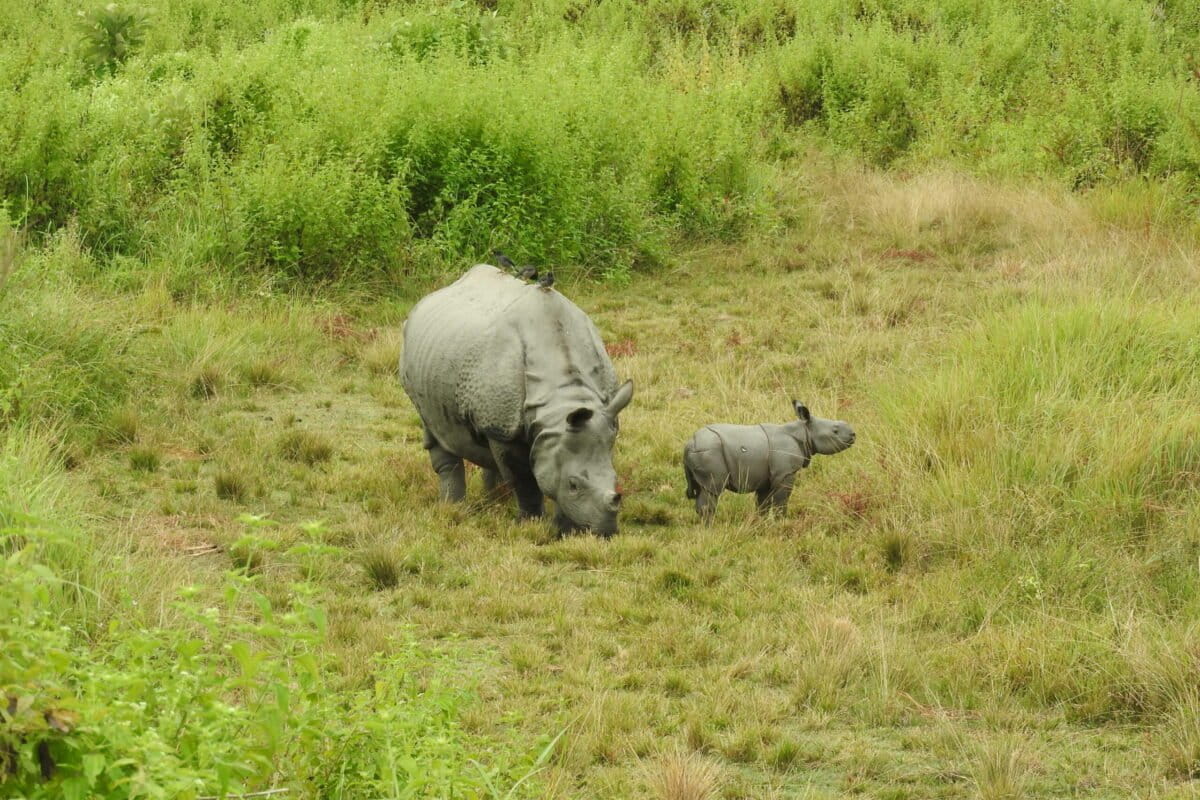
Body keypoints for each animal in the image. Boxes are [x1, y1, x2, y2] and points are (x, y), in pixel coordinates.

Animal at [400, 264, 634, 536]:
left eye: (616, 482)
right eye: (574, 485)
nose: (606, 532)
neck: (561, 399)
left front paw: (564, 530)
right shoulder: (505, 430)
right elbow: (524, 479)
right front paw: (531, 523)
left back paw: (493, 501)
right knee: (435, 429)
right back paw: (453, 508)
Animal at [683, 401, 855, 523]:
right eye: (835, 431)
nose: (853, 434)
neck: (805, 432)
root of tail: (689, 444)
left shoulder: (764, 476)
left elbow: (763, 504)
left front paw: (762, 523)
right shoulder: (785, 473)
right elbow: (781, 500)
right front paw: (782, 523)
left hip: (703, 452)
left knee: (703, 489)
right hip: (709, 452)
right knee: (712, 491)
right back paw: (710, 528)